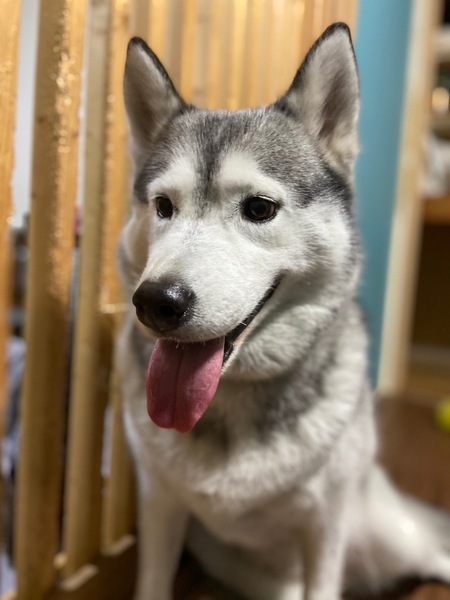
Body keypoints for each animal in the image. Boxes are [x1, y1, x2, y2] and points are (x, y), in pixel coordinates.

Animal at [117, 23, 450, 600]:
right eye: (163, 207)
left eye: (259, 209)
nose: (156, 301)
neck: (231, 401)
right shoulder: (160, 506)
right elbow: (154, 580)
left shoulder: (325, 525)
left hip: (392, 535)